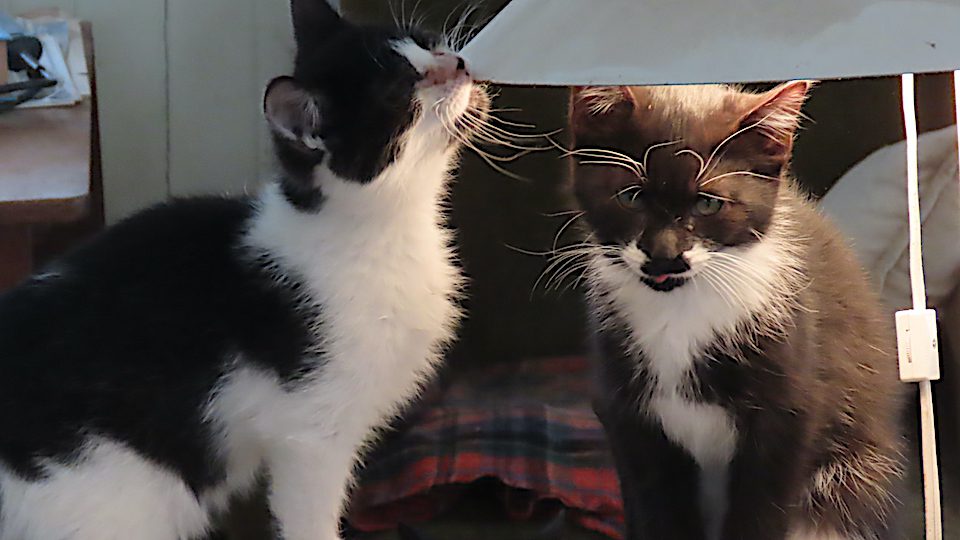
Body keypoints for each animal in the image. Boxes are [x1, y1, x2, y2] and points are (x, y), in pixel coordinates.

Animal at [0, 1, 488, 539]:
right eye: (401, 93)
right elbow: (310, 518)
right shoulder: (311, 436)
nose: (458, 63)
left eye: (424, 40)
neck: (377, 230)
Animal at [566, 83, 905, 540]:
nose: (664, 255)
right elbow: (658, 503)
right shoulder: (626, 415)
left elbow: (761, 507)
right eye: (632, 196)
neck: (680, 311)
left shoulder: (788, 409)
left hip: (854, 473)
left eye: (708, 205)